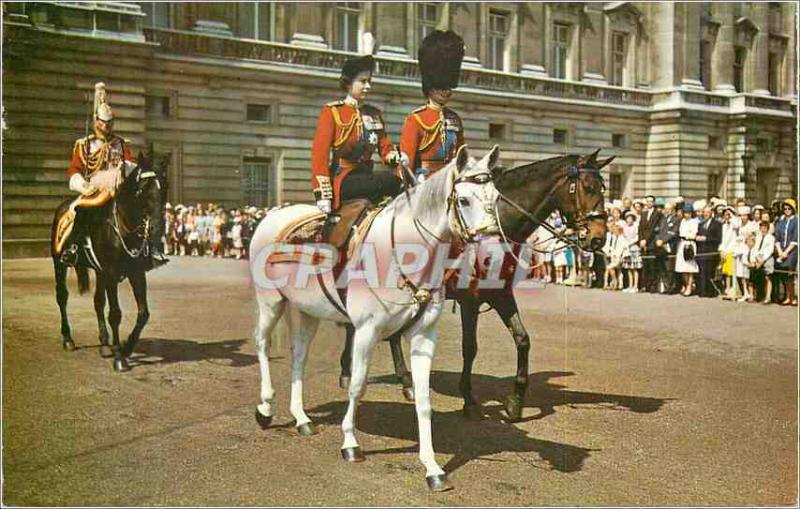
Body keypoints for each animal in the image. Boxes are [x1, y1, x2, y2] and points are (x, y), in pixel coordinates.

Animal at [250, 145, 500, 490]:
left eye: (497, 197)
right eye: (463, 200)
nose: (493, 255)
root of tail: (272, 215)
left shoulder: (424, 336)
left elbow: (423, 400)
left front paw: (432, 467)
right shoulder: (366, 331)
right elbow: (357, 385)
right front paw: (350, 443)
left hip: (307, 311)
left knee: (298, 356)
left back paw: (301, 418)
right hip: (270, 302)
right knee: (262, 346)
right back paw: (264, 407)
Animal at [340, 149, 612, 418]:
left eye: (604, 188)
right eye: (588, 187)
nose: (599, 238)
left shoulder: (501, 294)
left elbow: (522, 339)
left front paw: (515, 401)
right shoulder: (469, 300)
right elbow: (470, 347)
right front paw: (469, 398)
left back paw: (404, 382)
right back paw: (351, 373)